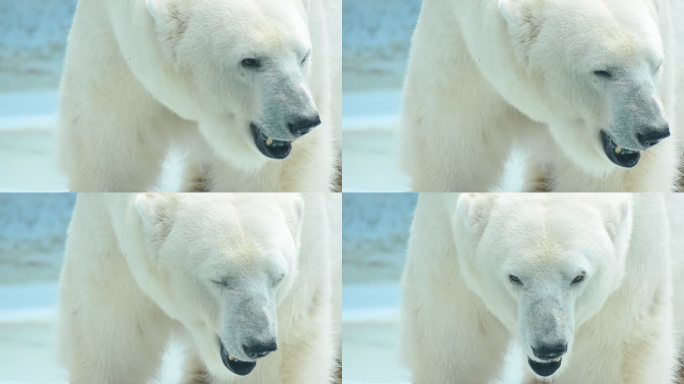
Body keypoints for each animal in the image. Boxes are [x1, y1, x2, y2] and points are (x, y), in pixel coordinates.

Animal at [400, 195, 684, 384]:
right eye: (514, 277)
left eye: (578, 277)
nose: (549, 348)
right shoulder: (448, 255)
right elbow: (453, 351)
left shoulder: (629, 275)